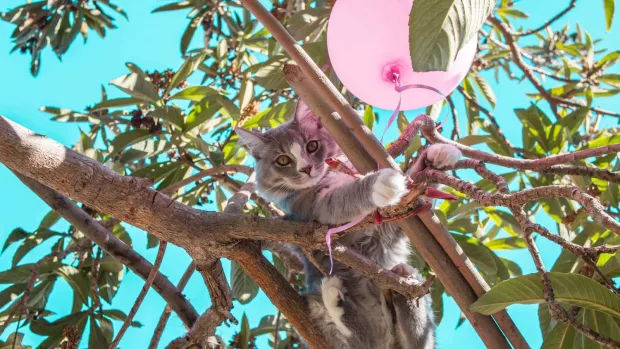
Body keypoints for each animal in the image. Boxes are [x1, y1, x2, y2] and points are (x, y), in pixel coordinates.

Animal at [237, 99, 460, 346]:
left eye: (312, 146)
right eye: (283, 160)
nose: (306, 168)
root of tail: (384, 342)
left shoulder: (386, 228)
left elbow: (414, 185)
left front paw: (438, 156)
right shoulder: (318, 208)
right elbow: (349, 196)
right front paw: (380, 184)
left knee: (415, 337)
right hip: (319, 305)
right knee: (354, 335)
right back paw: (334, 296)